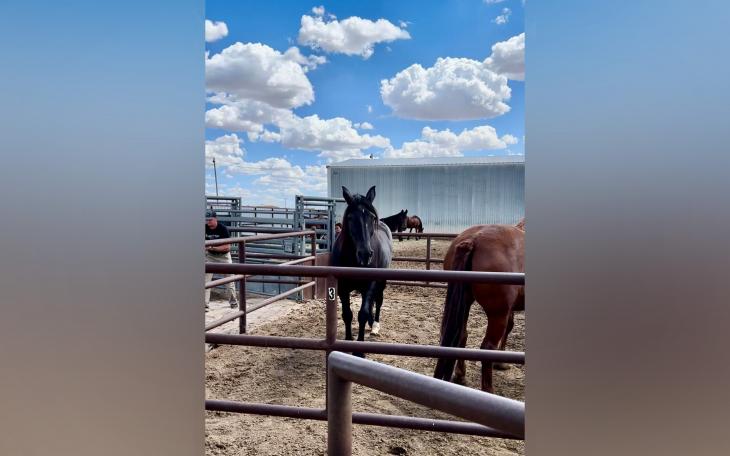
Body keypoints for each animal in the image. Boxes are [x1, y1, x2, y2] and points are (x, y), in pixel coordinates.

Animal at [331, 186, 393, 356]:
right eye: (351, 218)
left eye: (371, 218)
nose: (365, 254)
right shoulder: (342, 287)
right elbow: (347, 314)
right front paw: (348, 341)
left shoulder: (370, 283)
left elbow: (363, 313)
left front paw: (359, 351)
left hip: (380, 282)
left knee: (378, 301)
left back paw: (375, 326)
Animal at [433, 220, 525, 393]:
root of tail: (473, 239)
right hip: (497, 314)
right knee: (487, 347)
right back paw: (489, 391)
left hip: (466, 303)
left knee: (462, 335)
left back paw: (460, 376)